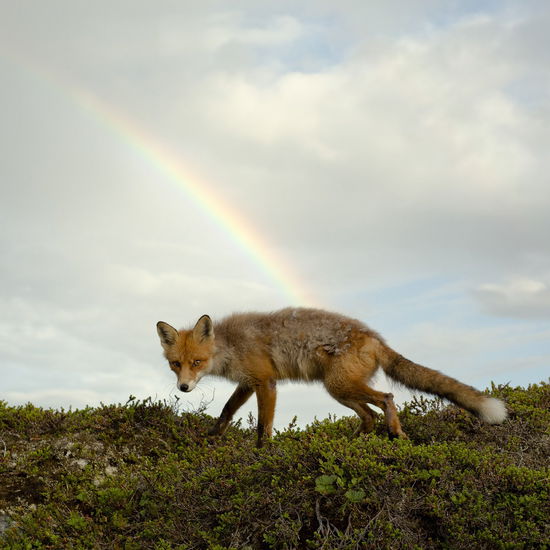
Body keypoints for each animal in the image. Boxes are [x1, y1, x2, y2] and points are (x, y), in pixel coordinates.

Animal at [155, 308, 508, 446]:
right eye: (176, 364)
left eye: (197, 362)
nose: (184, 387)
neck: (231, 346)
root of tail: (375, 337)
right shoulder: (247, 383)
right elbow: (226, 412)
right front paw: (211, 438)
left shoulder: (266, 383)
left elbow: (262, 427)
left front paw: (262, 453)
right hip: (340, 391)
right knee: (368, 416)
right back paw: (351, 443)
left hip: (339, 386)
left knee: (387, 398)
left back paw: (396, 433)